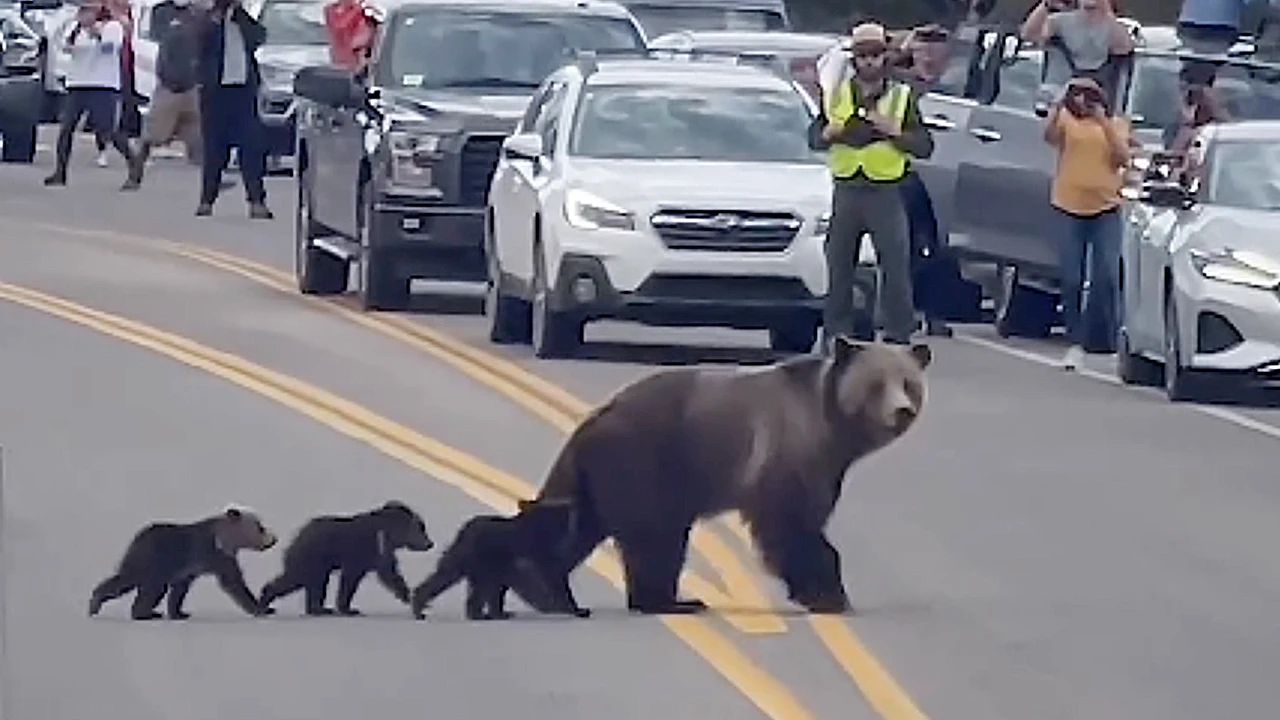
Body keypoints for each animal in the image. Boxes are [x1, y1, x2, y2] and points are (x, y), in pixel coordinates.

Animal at [90, 504, 280, 617]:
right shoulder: (212, 554)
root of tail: (135, 539)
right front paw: (262, 608)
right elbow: (234, 582)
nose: (274, 540)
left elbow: (179, 590)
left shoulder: (189, 569)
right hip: (153, 560)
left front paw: (179, 613)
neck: (222, 539)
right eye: (260, 527)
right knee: (142, 585)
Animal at [509, 335, 931, 609]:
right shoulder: (786, 454)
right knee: (655, 534)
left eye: (909, 383)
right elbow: (790, 524)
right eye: (876, 385)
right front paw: (826, 593)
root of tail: (591, 421)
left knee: (577, 522)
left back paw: (541, 586)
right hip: (646, 459)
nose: (901, 411)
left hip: (601, 474)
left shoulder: (825, 468)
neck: (832, 427)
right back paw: (667, 600)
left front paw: (824, 590)